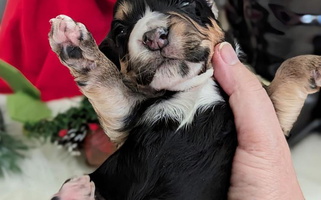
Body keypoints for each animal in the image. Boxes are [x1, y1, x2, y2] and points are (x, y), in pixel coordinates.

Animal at [47, 0, 320, 199]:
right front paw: (73, 40)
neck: (191, 85)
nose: (154, 36)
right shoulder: (125, 113)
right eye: (121, 30)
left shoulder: (269, 111)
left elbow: (285, 69)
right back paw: (76, 190)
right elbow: (107, 80)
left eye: (185, 2)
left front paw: (315, 64)